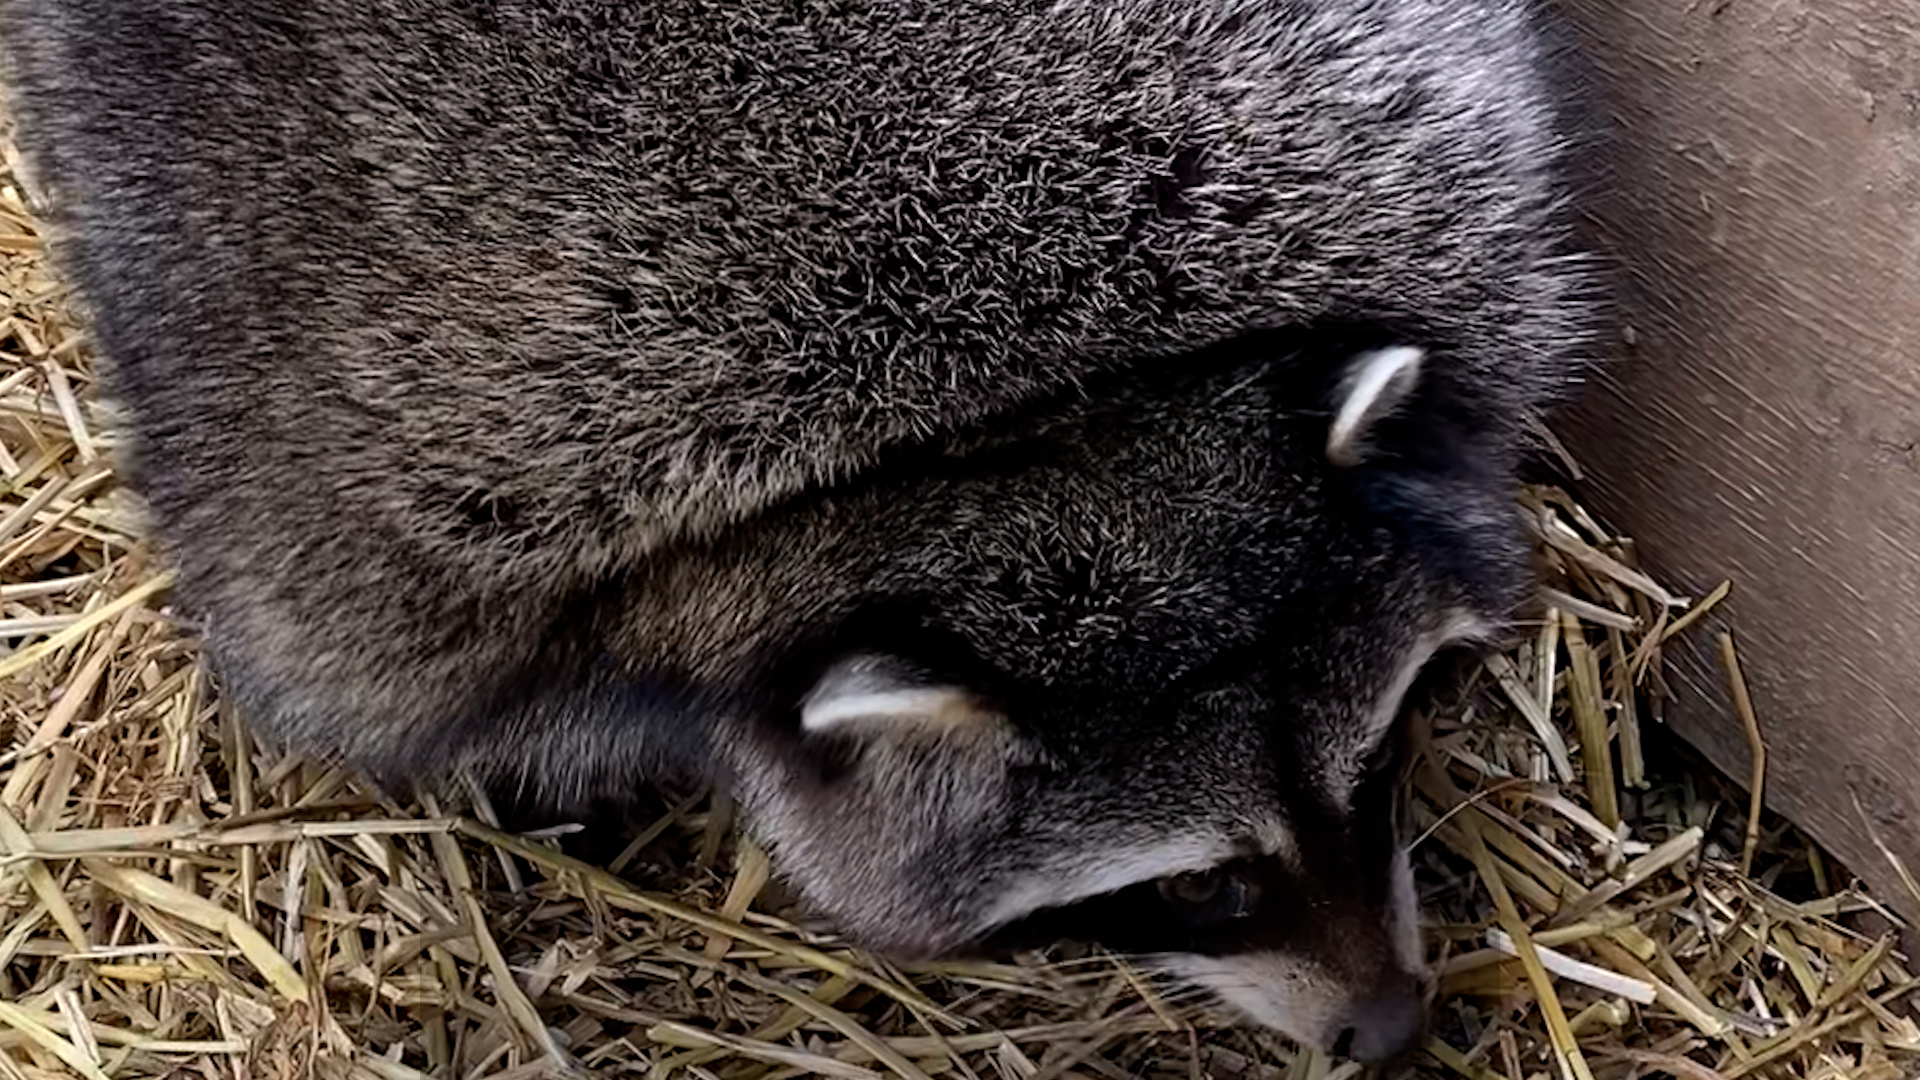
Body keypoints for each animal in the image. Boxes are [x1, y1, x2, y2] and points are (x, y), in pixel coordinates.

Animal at [0, 0, 1597, 1060]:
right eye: (1201, 882)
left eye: (1377, 765)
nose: (1391, 1030)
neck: (1015, 431)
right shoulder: (412, 556)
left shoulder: (1397, 175)